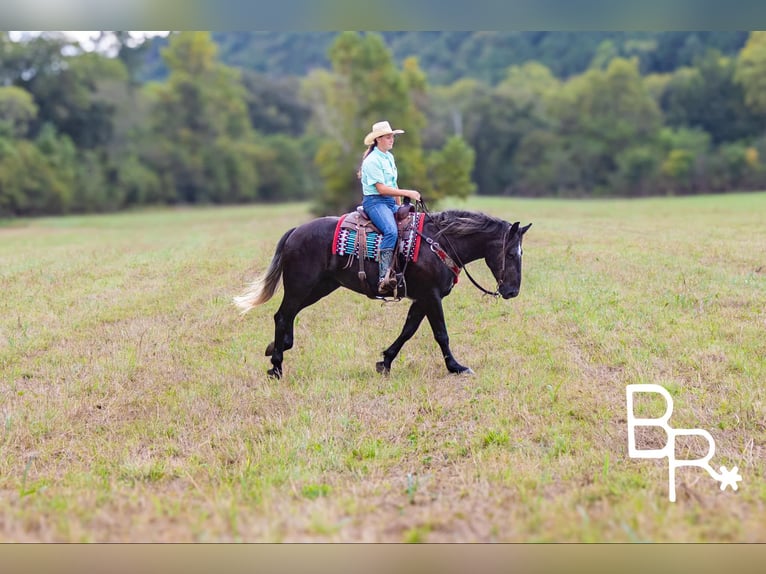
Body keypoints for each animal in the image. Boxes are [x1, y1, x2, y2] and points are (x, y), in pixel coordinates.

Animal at [233, 207, 531, 379]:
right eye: (510, 253)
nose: (512, 291)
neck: (440, 242)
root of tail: (296, 231)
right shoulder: (431, 296)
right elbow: (441, 334)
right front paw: (456, 367)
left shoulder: (422, 298)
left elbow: (408, 330)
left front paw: (385, 361)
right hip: (301, 286)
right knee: (283, 316)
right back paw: (276, 366)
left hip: (319, 287)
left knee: (288, 316)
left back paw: (278, 348)